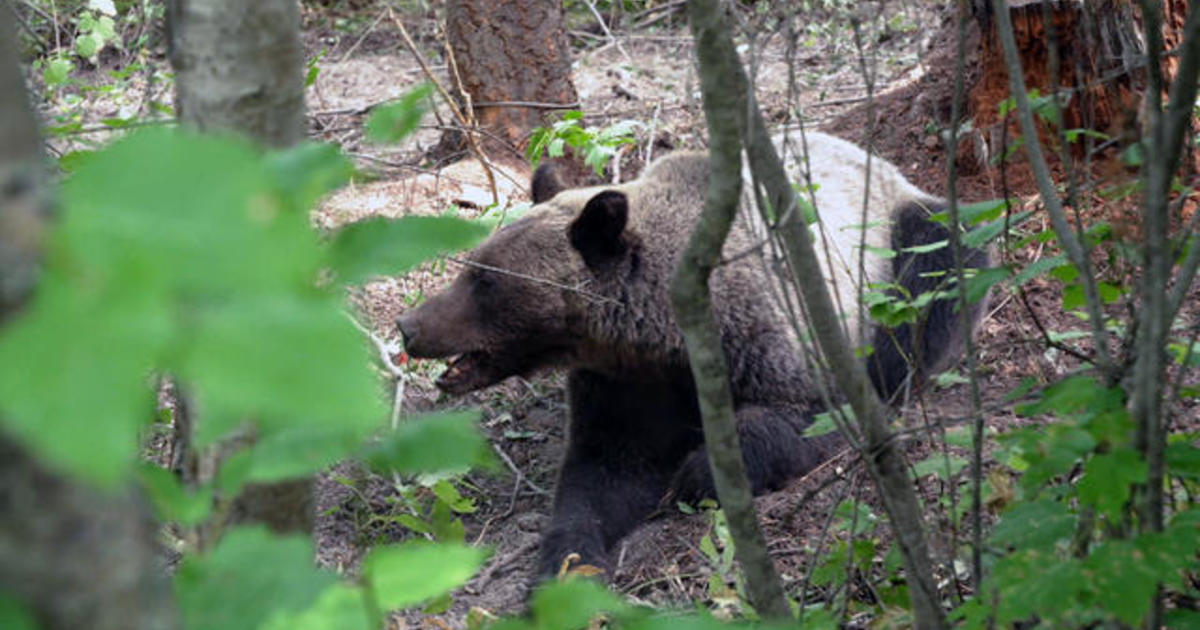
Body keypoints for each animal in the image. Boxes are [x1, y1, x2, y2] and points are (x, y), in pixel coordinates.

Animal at [398, 130, 988, 583]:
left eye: (485, 281)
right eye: (473, 265)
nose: (409, 327)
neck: (659, 335)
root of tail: (873, 156)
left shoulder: (769, 335)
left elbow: (802, 416)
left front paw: (695, 474)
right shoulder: (625, 386)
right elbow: (600, 476)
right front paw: (568, 563)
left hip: (897, 236)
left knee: (934, 272)